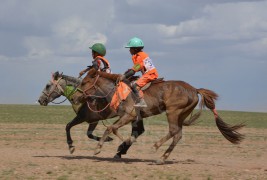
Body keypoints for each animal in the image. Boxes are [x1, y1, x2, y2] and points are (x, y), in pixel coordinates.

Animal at [73, 68, 245, 164]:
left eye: (84, 82)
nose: (75, 97)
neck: (118, 91)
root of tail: (194, 89)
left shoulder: (130, 115)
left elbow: (110, 128)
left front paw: (99, 148)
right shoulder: (131, 117)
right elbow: (119, 129)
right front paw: (121, 146)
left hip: (172, 112)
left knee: (174, 131)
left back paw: (155, 146)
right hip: (180, 114)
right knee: (178, 135)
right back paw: (162, 158)